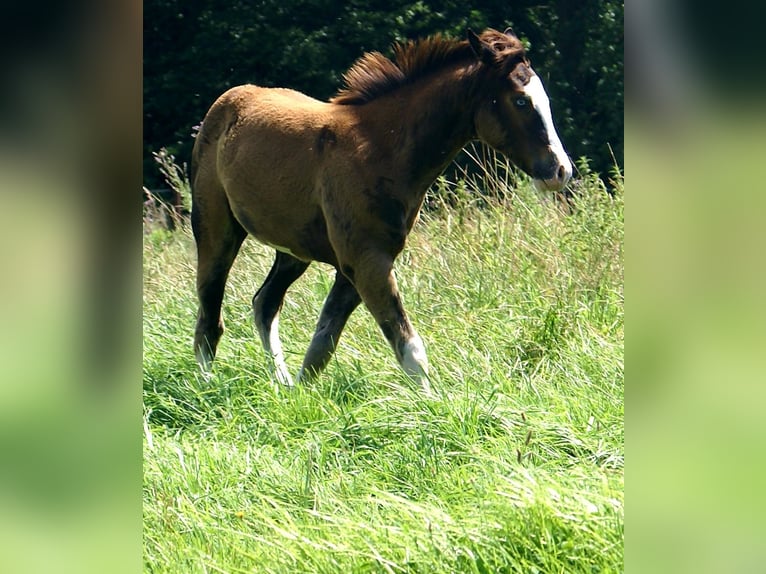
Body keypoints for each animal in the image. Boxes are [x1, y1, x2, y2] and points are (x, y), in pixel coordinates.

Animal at [190, 27, 572, 392]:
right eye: (521, 100)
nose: (561, 170)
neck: (380, 150)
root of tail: (228, 100)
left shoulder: (355, 267)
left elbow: (321, 346)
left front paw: (298, 398)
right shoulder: (367, 261)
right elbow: (409, 347)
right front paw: (435, 407)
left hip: (294, 250)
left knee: (265, 303)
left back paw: (279, 382)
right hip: (215, 230)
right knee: (210, 316)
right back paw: (206, 389)